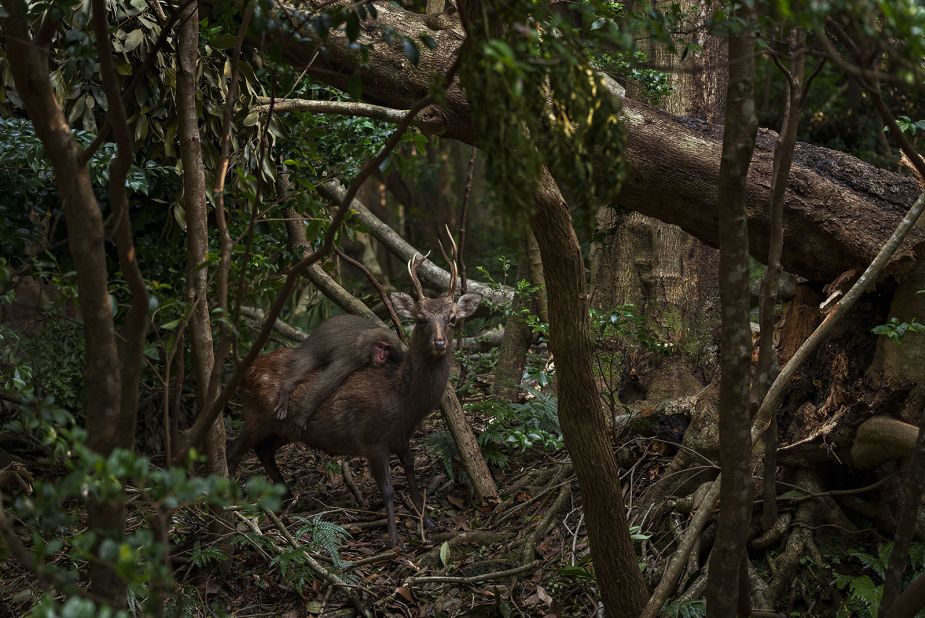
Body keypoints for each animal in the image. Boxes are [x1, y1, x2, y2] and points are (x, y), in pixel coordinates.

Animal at [274, 312, 404, 424]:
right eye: (379, 346)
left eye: (387, 349)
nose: (382, 357)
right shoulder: (354, 355)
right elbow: (325, 383)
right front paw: (302, 415)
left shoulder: (399, 354)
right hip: (312, 347)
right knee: (304, 361)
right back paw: (287, 387)